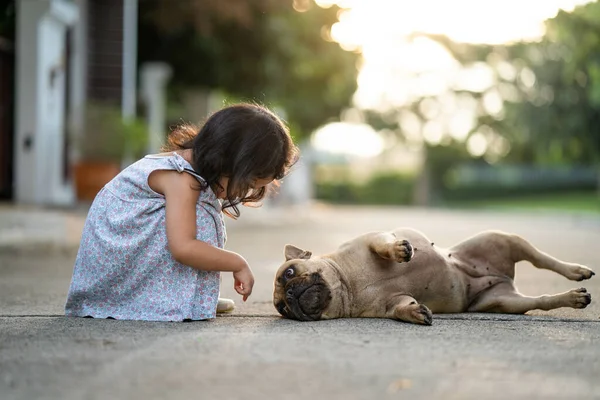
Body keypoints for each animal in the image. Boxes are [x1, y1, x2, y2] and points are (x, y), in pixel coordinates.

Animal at [274, 228, 596, 324]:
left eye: (289, 273)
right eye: (282, 309)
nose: (288, 295)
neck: (347, 285)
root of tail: (502, 277)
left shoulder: (371, 240)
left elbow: (383, 245)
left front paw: (399, 250)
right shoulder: (391, 303)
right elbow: (401, 308)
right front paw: (416, 313)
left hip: (503, 239)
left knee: (542, 260)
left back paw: (577, 271)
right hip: (504, 301)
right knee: (541, 300)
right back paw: (573, 297)